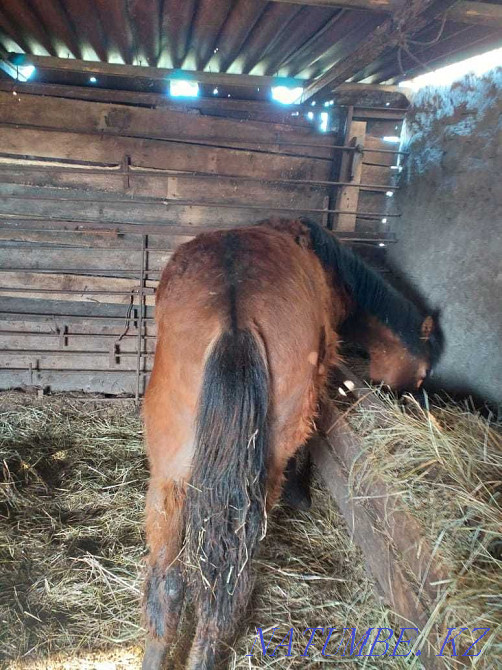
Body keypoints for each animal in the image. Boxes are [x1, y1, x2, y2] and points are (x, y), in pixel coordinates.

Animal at [141, 217, 439, 670]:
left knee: (169, 582)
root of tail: (234, 317)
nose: (409, 399)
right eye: (423, 373)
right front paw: (301, 493)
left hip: (169, 471)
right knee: (224, 586)